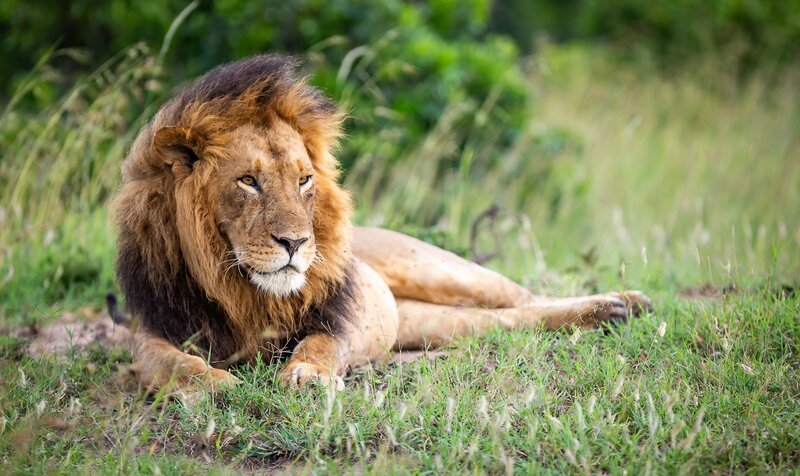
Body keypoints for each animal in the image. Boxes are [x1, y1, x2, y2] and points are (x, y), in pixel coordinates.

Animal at [112, 54, 651, 391]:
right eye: (248, 181)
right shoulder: (153, 328)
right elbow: (166, 363)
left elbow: (322, 342)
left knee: (525, 297)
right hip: (425, 321)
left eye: (304, 180)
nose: (295, 243)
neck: (242, 290)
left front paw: (307, 376)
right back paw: (612, 313)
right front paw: (212, 386)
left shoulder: (343, 312)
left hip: (438, 268)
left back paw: (623, 303)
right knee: (504, 320)